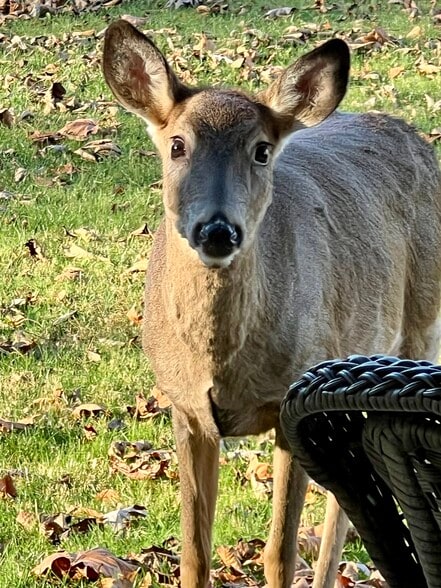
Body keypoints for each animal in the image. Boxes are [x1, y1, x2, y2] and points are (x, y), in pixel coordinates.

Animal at [101, 19, 440, 588]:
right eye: (177, 145)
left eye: (261, 150)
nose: (217, 230)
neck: (221, 363)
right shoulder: (183, 405)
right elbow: (195, 550)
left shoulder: (291, 401)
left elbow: (279, 551)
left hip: (420, 326)